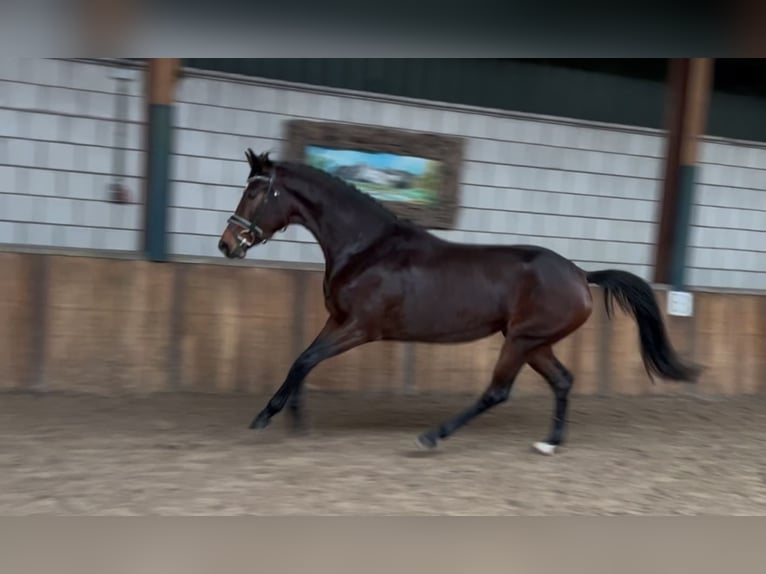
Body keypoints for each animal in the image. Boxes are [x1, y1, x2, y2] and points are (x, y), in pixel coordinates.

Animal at [218, 151, 704, 456]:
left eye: (255, 193)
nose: (227, 244)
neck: (368, 248)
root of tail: (581, 275)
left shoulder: (357, 327)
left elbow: (304, 360)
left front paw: (267, 417)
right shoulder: (337, 321)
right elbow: (303, 360)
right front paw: (295, 420)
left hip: (521, 341)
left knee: (497, 391)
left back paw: (433, 437)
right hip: (535, 343)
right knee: (563, 381)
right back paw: (550, 443)